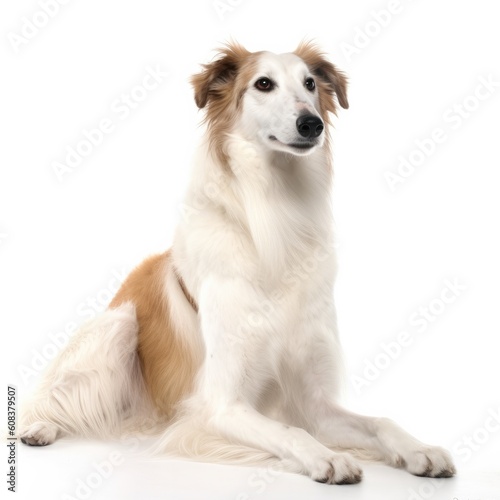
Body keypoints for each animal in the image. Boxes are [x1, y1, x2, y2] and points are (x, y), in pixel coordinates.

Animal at [20, 43, 458, 484]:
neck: (276, 213)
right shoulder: (222, 405)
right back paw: (38, 427)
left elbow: (380, 421)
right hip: (118, 325)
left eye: (310, 84)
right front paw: (328, 458)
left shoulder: (314, 402)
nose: (311, 124)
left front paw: (420, 450)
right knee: (51, 396)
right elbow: (292, 430)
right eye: (263, 84)